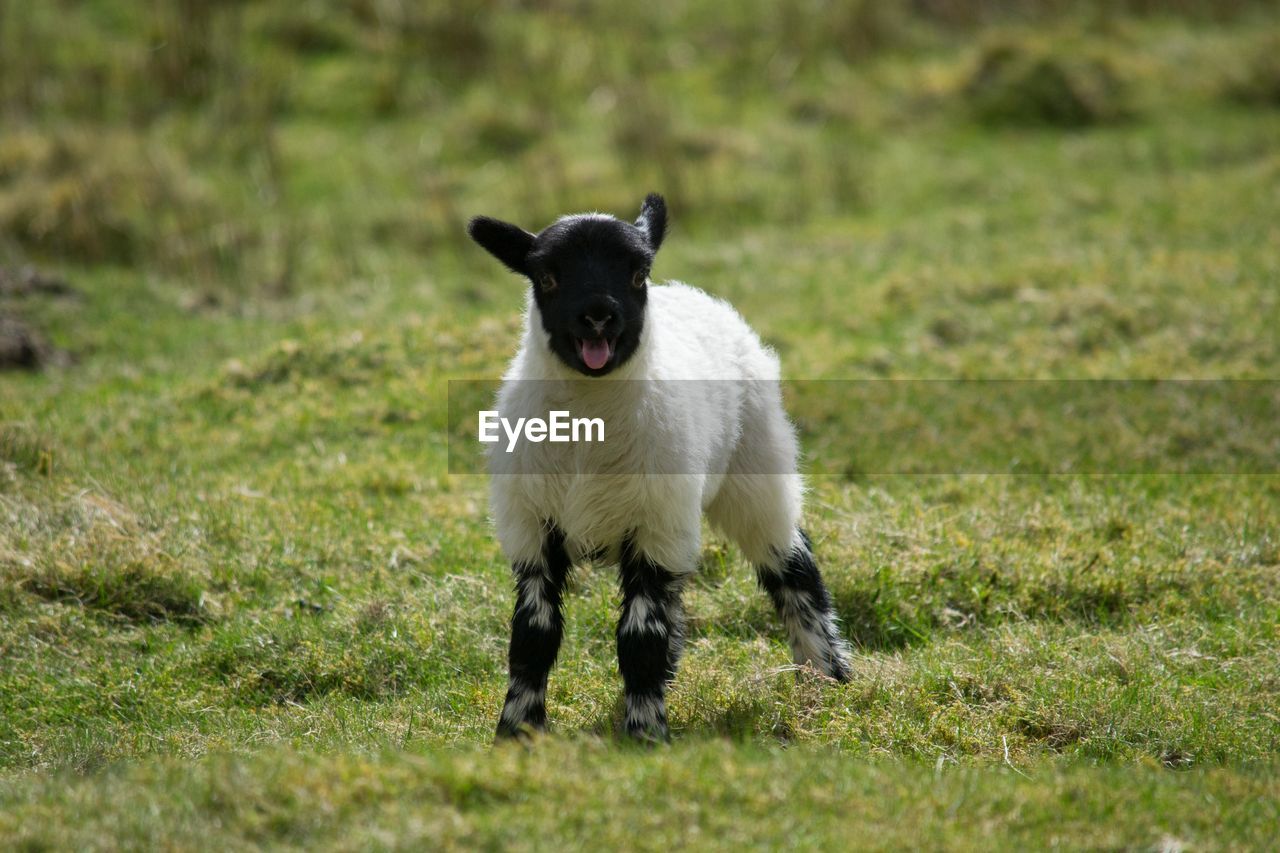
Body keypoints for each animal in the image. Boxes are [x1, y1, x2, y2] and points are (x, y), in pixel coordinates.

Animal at [468, 194, 849, 737]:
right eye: (546, 276)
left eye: (636, 273)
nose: (598, 315)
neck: (589, 431)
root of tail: (688, 294)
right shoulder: (532, 528)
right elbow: (533, 637)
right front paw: (518, 732)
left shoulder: (654, 528)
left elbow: (639, 638)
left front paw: (646, 734)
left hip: (755, 465)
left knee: (793, 565)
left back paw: (826, 677)